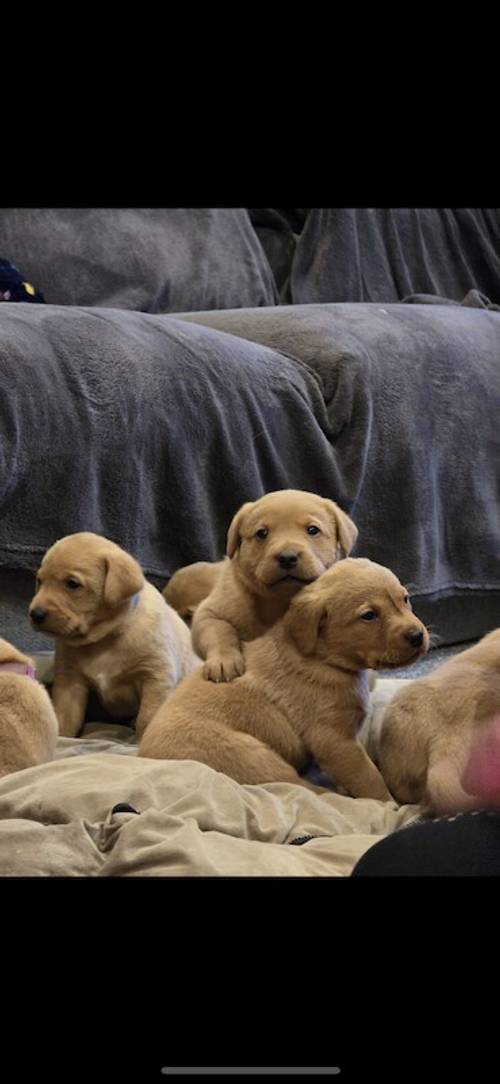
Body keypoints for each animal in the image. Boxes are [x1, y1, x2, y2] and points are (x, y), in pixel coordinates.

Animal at [29, 535, 198, 741]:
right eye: (39, 581)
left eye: (72, 584)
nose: (35, 614)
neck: (104, 639)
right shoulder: (69, 681)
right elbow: (65, 716)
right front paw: (62, 738)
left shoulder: (155, 677)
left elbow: (147, 718)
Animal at [139, 559, 429, 797]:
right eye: (369, 615)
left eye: (405, 599)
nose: (417, 636)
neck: (322, 658)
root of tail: (145, 759)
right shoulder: (334, 740)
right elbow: (369, 780)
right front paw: (388, 803)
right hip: (252, 757)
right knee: (304, 790)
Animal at [188, 489, 355, 680]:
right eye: (262, 533)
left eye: (313, 530)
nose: (287, 557)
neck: (277, 602)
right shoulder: (208, 612)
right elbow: (220, 630)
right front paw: (224, 660)